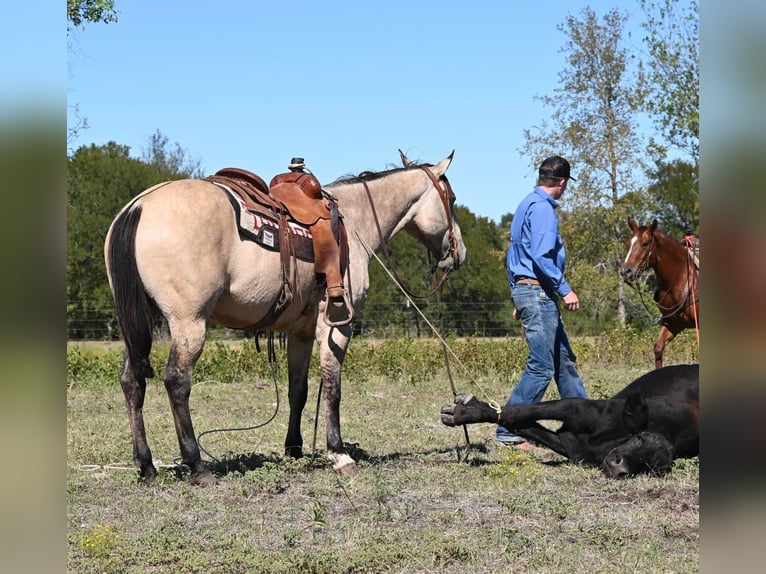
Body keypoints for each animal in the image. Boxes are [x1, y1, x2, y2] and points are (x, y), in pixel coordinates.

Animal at [104, 152, 468, 486]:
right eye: (451, 199)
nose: (459, 253)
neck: (354, 222)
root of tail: (139, 206)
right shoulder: (337, 326)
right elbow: (333, 388)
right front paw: (338, 453)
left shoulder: (300, 332)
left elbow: (299, 390)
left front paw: (294, 448)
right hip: (188, 322)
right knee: (177, 381)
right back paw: (197, 466)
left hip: (136, 324)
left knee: (131, 381)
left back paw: (146, 466)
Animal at [440, 366, 700, 480]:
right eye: (639, 438)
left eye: (651, 468)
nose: (620, 469)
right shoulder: (577, 409)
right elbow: (519, 411)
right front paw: (464, 410)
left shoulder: (569, 445)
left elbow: (524, 424)